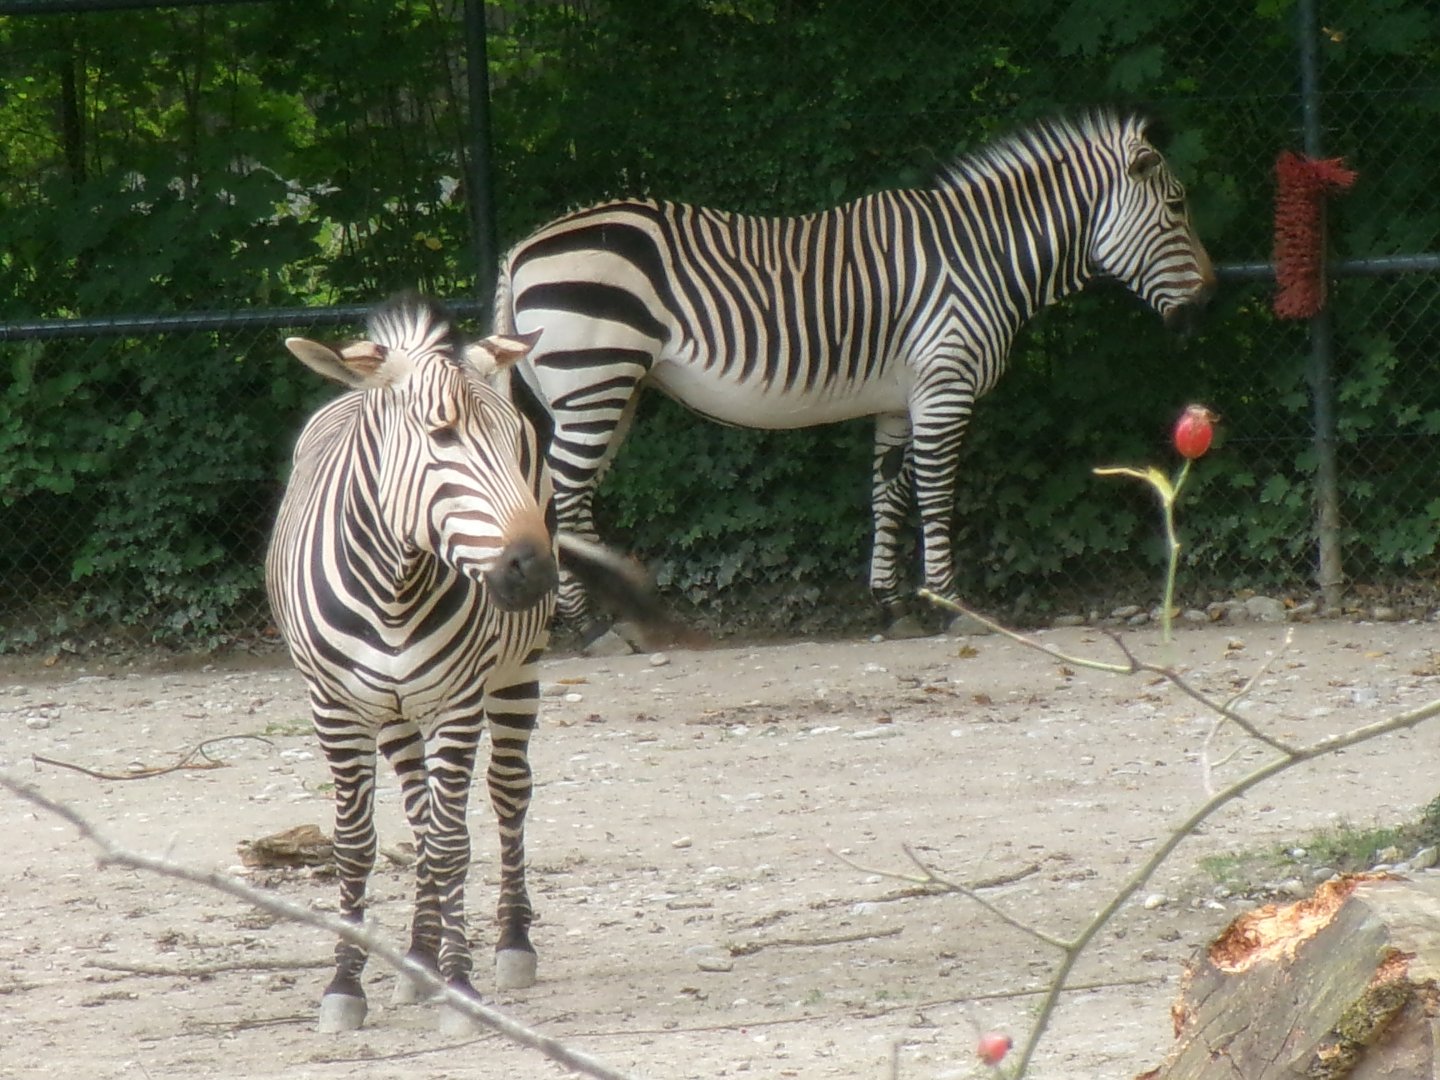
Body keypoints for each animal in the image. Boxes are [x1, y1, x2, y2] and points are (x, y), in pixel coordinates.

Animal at [265, 292, 663, 1034]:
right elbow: (358, 843)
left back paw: (508, 943)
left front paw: (461, 987)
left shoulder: (458, 699)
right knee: (420, 814)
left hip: (513, 674)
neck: (394, 587)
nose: (537, 572)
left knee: (506, 794)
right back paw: (419, 957)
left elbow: (452, 842)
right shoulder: (334, 707)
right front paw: (345, 984)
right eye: (442, 436)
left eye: (513, 445)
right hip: (395, 710)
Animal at [495, 109, 1216, 649]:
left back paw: (614, 617)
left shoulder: (900, 400)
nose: (1210, 301)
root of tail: (520, 249)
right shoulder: (945, 385)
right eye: (1178, 207)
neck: (983, 256)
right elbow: (936, 494)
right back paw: (587, 626)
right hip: (595, 381)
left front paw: (892, 605)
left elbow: (888, 495)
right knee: (561, 496)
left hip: (601, 394)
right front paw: (952, 605)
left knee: (568, 499)